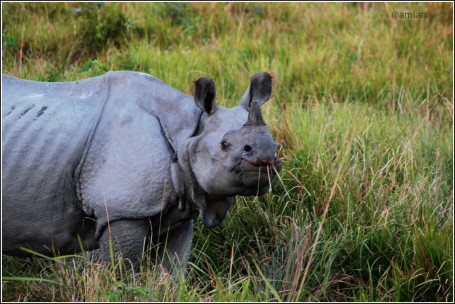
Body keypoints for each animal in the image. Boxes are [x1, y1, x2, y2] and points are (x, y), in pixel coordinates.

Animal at [1, 70, 284, 270]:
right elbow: (124, 271)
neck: (188, 132)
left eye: (275, 142)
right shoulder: (121, 210)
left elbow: (172, 269)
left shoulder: (179, 210)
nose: (266, 155)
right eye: (224, 145)